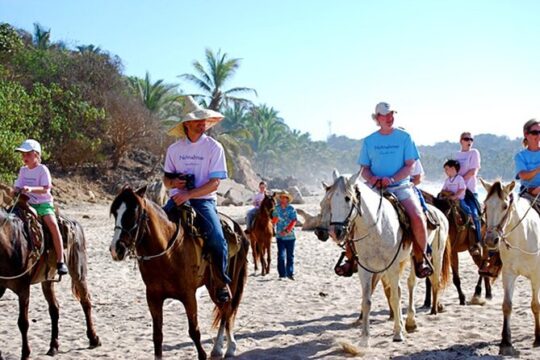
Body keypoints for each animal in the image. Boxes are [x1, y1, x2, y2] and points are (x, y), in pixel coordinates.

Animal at [0, 197, 100, 360]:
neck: (10, 243)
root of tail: (75, 223)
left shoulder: (23, 288)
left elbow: (23, 323)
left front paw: (26, 354)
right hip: (48, 279)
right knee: (55, 308)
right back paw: (53, 346)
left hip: (78, 272)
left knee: (86, 301)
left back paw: (94, 338)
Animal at [108, 187, 251, 358]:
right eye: (115, 213)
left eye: (133, 213)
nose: (116, 249)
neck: (168, 252)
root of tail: (238, 229)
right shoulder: (153, 297)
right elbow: (157, 336)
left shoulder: (188, 296)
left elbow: (194, 332)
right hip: (213, 286)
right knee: (224, 310)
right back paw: (218, 348)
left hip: (230, 282)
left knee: (227, 310)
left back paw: (229, 348)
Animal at [316, 170, 452, 344]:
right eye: (329, 199)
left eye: (347, 198)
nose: (336, 232)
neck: (376, 227)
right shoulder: (365, 269)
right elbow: (367, 300)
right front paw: (364, 338)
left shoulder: (392, 266)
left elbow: (394, 296)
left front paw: (398, 333)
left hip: (431, 254)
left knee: (415, 283)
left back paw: (413, 320)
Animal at [478, 179, 540, 356]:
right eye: (485, 205)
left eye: (505, 206)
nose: (490, 240)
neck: (523, 236)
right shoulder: (508, 274)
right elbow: (507, 305)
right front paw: (506, 342)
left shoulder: (536, 275)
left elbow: (535, 305)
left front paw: (538, 338)